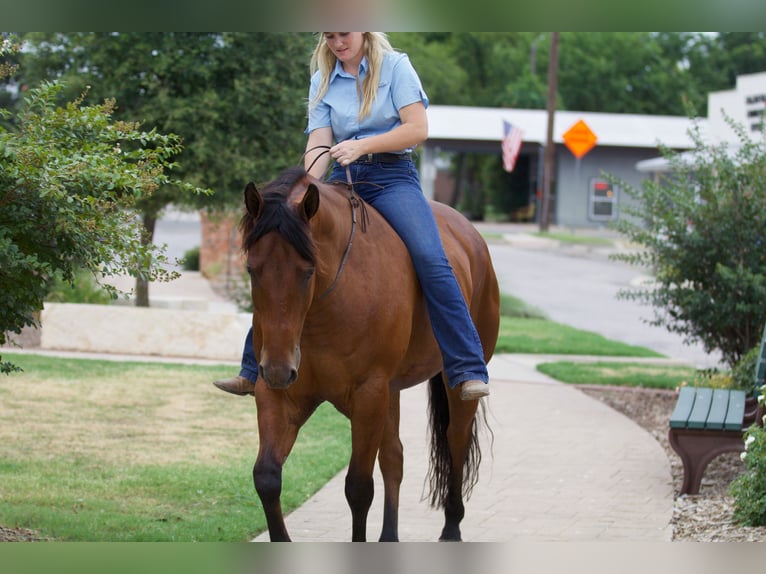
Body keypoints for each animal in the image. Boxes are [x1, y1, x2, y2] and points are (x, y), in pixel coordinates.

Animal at [243, 168, 500, 544]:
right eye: (251, 269)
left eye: (308, 270)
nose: (277, 369)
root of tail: (472, 237)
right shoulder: (280, 396)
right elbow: (266, 477)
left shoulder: (368, 395)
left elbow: (358, 488)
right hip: (389, 393)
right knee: (394, 456)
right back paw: (389, 535)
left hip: (446, 387)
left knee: (456, 442)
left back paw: (452, 527)